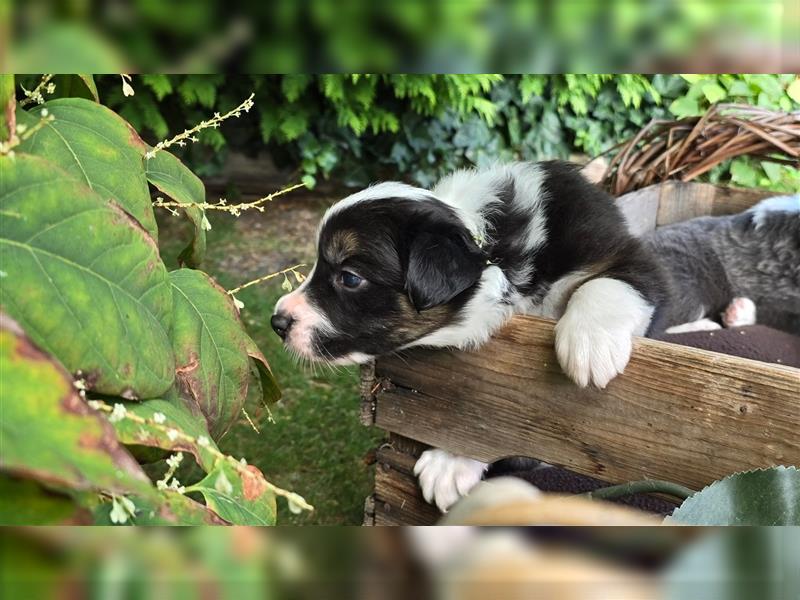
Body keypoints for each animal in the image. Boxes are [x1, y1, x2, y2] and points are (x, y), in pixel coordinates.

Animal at [274, 161, 668, 510]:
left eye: (349, 277)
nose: (277, 322)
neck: (496, 252)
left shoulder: (626, 255)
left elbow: (606, 283)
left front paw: (589, 345)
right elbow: (475, 420)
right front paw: (450, 462)